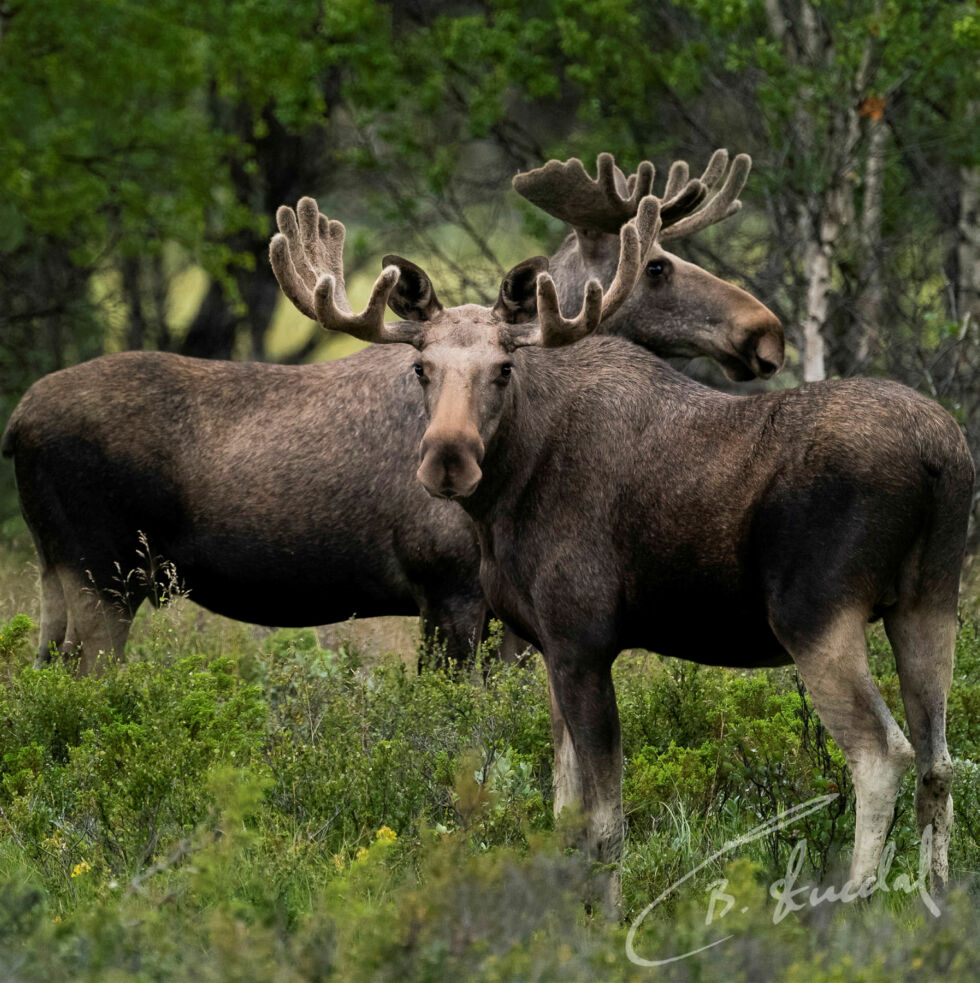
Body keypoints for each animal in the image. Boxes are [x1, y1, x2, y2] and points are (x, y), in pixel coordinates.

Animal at [1, 150, 780, 672]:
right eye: (656, 265)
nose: (765, 331)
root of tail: (15, 424)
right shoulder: (450, 590)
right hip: (100, 574)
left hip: (55, 577)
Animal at [268, 192, 972, 908]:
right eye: (421, 369)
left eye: (503, 369)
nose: (448, 459)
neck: (506, 493)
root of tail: (941, 456)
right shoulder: (549, 646)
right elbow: (564, 813)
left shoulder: (583, 641)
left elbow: (605, 825)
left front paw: (605, 919)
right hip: (928, 602)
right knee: (939, 761)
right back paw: (934, 898)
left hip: (817, 616)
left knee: (882, 756)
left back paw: (853, 904)